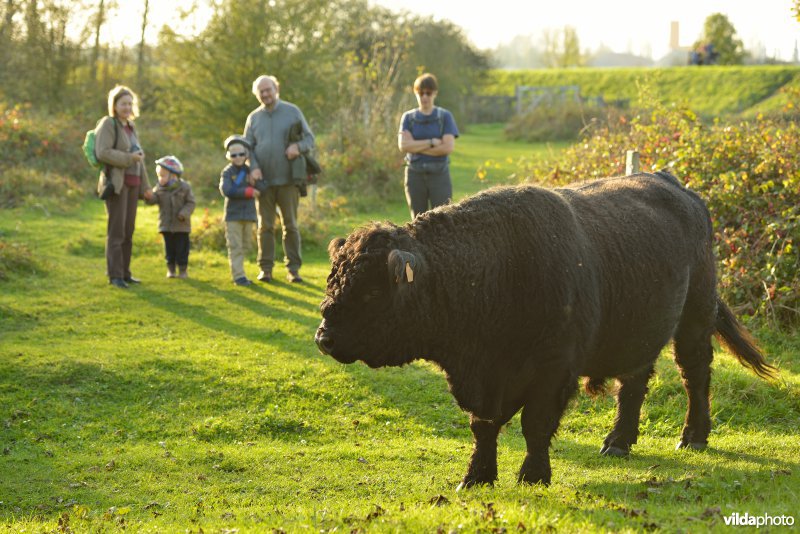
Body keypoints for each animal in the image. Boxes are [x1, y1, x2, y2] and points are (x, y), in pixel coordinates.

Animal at [314, 173, 776, 490]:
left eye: (372, 291)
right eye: (334, 281)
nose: (324, 337)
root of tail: (674, 183)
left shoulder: (553, 370)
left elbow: (535, 426)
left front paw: (533, 476)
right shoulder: (483, 379)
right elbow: (483, 427)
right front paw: (476, 477)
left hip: (695, 316)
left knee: (694, 373)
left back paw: (693, 436)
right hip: (639, 331)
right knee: (634, 383)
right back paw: (618, 441)